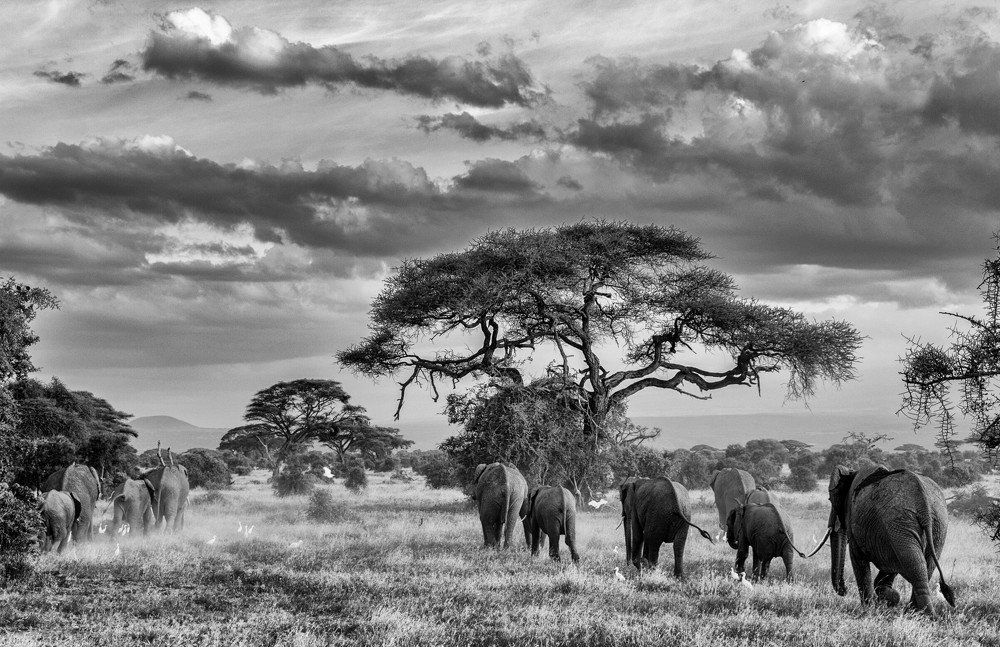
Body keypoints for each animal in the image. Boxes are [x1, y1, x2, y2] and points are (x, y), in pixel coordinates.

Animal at [828, 463, 955, 613]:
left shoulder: (854, 520)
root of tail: (924, 505)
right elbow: (892, 564)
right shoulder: (886, 535)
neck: (852, 471)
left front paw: (869, 610)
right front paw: (889, 599)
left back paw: (922, 613)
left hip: (899, 522)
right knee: (923, 565)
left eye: (831, 499)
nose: (844, 590)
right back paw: (915, 612)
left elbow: (859, 561)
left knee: (914, 565)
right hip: (936, 525)